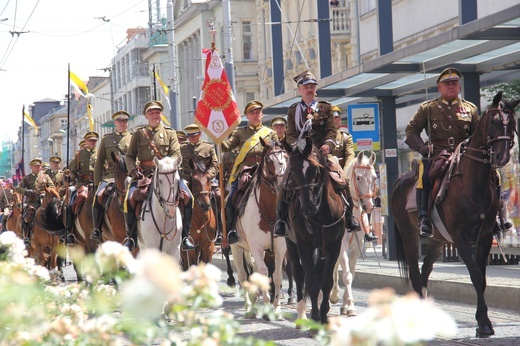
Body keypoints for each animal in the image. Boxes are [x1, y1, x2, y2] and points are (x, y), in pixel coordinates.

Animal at [232, 138, 288, 318]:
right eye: (270, 160)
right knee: (243, 275)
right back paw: (249, 307)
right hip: (236, 247)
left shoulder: (280, 247)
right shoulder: (255, 246)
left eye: (286, 157)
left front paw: (276, 308)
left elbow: (277, 275)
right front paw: (267, 307)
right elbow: (263, 273)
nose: (281, 184)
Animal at [332, 151, 376, 316]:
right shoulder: (341, 246)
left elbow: (351, 272)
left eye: (374, 177)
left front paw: (345, 305)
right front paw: (350, 305)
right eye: (358, 178)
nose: (369, 206)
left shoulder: (357, 247)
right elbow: (346, 275)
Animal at [392, 92, 516, 338]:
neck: (472, 182)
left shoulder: (485, 237)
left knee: (425, 270)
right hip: (409, 236)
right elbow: (475, 275)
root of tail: (401, 180)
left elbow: (482, 278)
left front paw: (482, 321)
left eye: (513, 123)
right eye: (494, 121)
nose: (502, 156)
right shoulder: (460, 237)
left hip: (437, 241)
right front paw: (484, 323)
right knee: (414, 274)